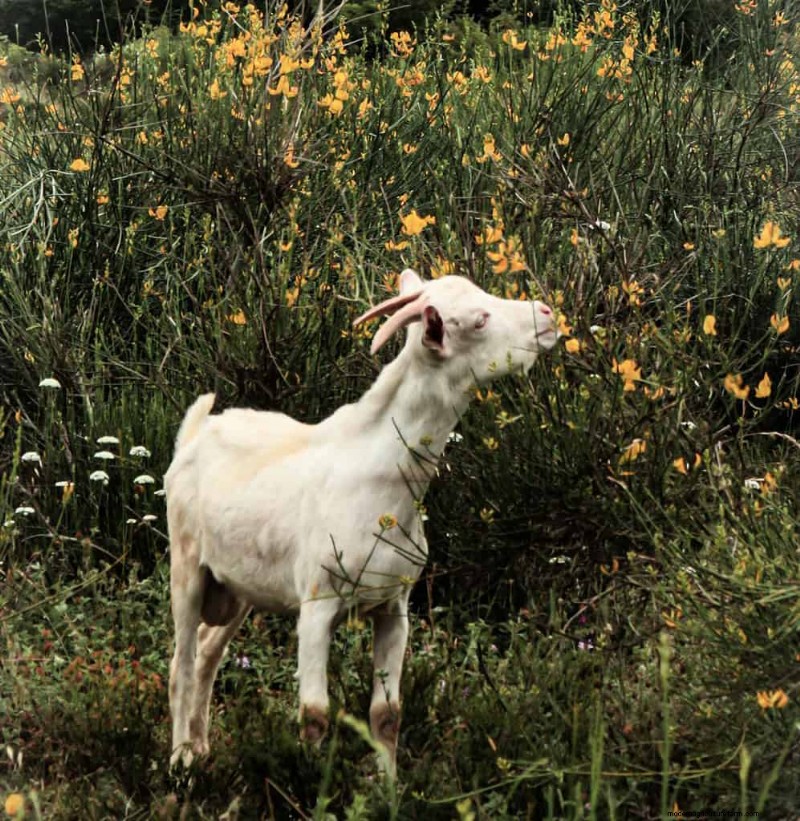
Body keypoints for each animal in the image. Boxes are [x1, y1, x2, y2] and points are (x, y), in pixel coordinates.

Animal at [165, 268, 557, 774]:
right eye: (479, 319)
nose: (546, 314)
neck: (381, 479)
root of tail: (196, 433)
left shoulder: (395, 606)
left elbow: (386, 713)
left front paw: (386, 784)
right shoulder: (317, 604)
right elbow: (314, 714)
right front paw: (311, 779)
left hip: (238, 587)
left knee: (209, 651)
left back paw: (201, 749)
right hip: (186, 563)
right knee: (182, 661)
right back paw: (180, 762)